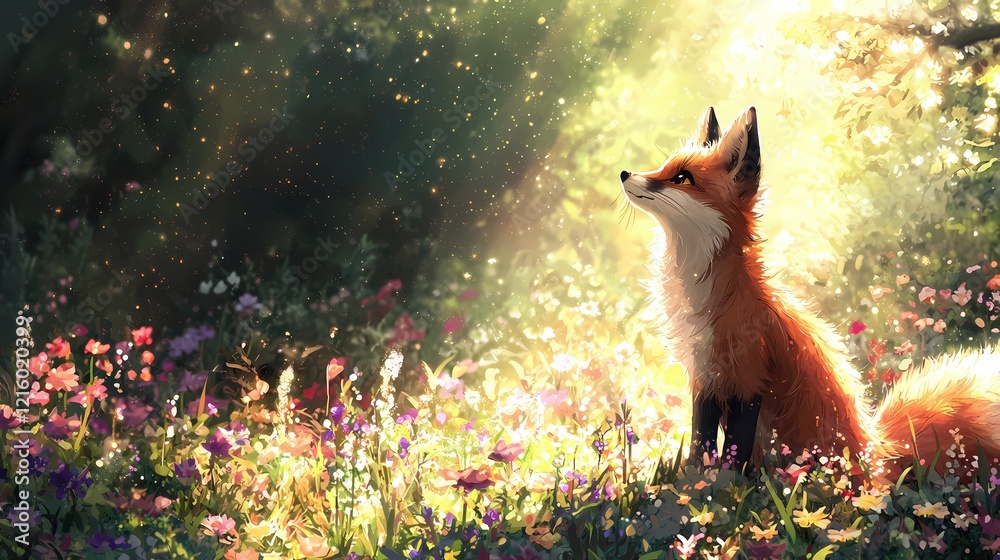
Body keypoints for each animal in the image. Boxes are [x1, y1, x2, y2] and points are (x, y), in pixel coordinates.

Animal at [620, 105, 1000, 480]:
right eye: (664, 166)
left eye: (682, 177)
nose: (624, 173)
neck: (707, 297)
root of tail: (879, 458)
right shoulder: (705, 381)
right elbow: (701, 446)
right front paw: (694, 484)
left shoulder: (748, 379)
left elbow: (734, 453)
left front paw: (725, 487)